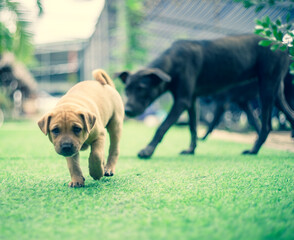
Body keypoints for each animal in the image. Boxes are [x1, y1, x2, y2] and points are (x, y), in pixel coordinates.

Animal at [118, 33, 292, 158]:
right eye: (126, 90)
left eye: (141, 88)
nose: (127, 111)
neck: (173, 60)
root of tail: (284, 46)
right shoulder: (191, 101)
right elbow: (193, 127)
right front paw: (191, 150)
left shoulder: (182, 101)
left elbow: (162, 127)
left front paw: (148, 150)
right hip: (276, 92)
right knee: (290, 115)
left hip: (266, 88)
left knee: (267, 126)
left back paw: (253, 150)